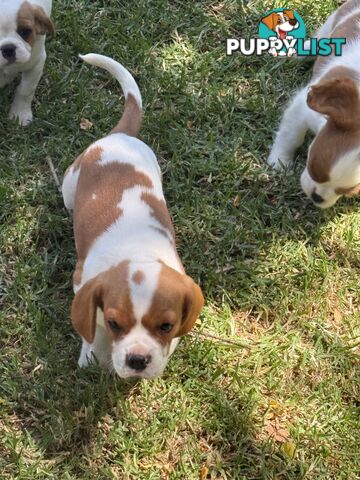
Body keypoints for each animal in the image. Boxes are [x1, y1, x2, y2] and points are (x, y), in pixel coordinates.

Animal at [61, 53, 202, 378]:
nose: (138, 360)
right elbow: (93, 331)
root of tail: (121, 136)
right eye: (115, 323)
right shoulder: (82, 283)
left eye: (167, 325)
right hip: (69, 184)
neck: (138, 251)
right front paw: (91, 358)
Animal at [268, 1, 360, 208]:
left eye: (348, 192)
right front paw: (279, 161)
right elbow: (291, 135)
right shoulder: (302, 108)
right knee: (318, 40)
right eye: (314, 168)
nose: (316, 197)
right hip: (332, 21)